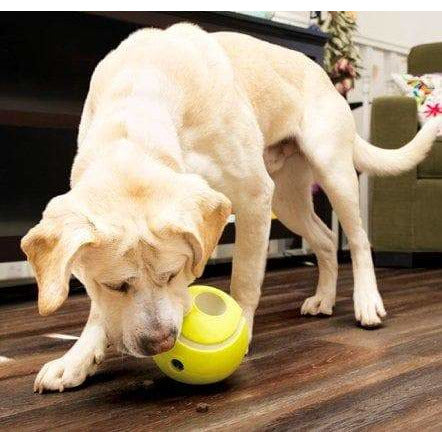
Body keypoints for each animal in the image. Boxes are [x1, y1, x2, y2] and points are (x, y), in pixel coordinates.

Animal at [21, 22, 442, 392]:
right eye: (115, 285)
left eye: (175, 274)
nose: (160, 343)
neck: (137, 107)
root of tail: (326, 77)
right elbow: (98, 309)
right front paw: (78, 358)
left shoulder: (254, 198)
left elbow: (245, 278)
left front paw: (242, 331)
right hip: (288, 198)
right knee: (324, 240)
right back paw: (324, 298)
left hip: (332, 173)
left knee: (357, 240)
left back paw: (367, 301)